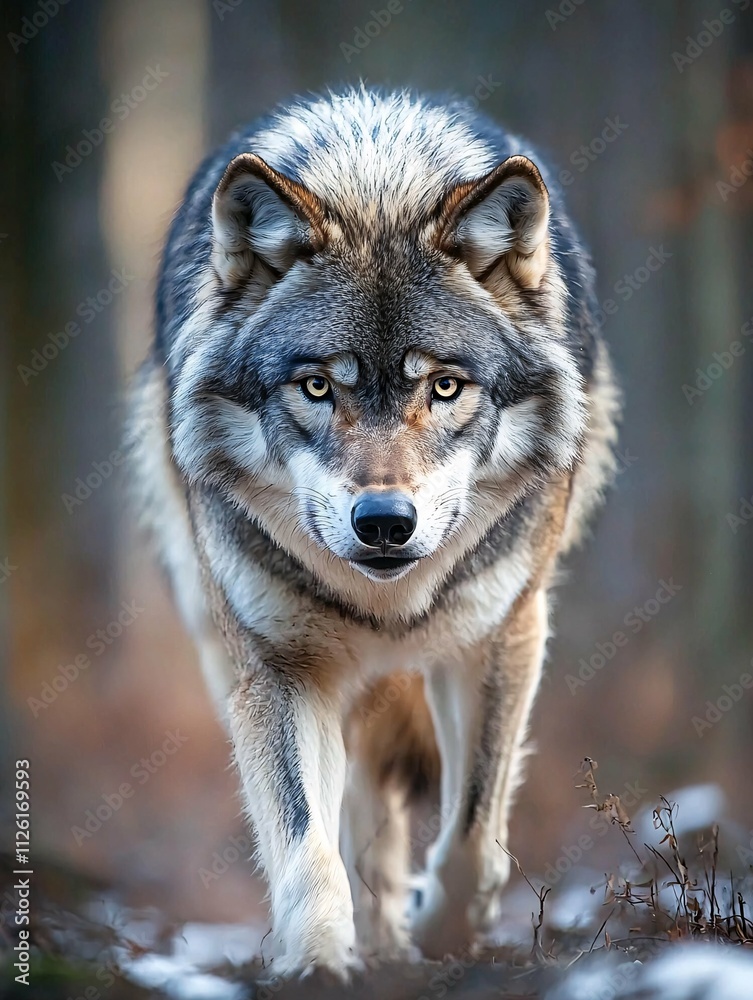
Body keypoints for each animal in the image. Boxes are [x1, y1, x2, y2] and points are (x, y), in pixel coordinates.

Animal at [128, 87, 618, 977]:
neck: (376, 181)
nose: (385, 523)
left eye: (445, 387)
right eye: (318, 387)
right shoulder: (281, 665)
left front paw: (447, 932)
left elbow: (471, 830)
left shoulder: (501, 635)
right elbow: (304, 842)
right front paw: (319, 961)